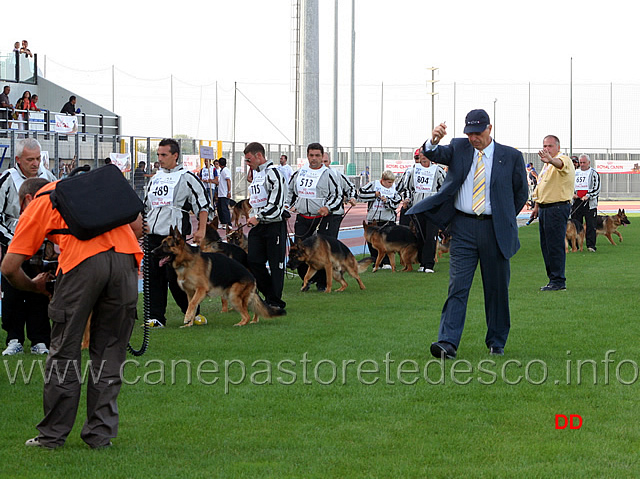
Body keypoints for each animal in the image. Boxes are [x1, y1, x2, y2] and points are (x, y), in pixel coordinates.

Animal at [154, 227, 284, 328]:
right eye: (161, 243)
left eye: (165, 245)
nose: (151, 251)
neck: (186, 262)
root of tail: (252, 277)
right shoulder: (190, 293)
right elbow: (192, 305)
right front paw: (189, 323)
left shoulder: (201, 290)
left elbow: (192, 304)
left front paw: (187, 319)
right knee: (254, 309)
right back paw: (254, 320)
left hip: (234, 296)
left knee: (246, 314)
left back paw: (241, 323)